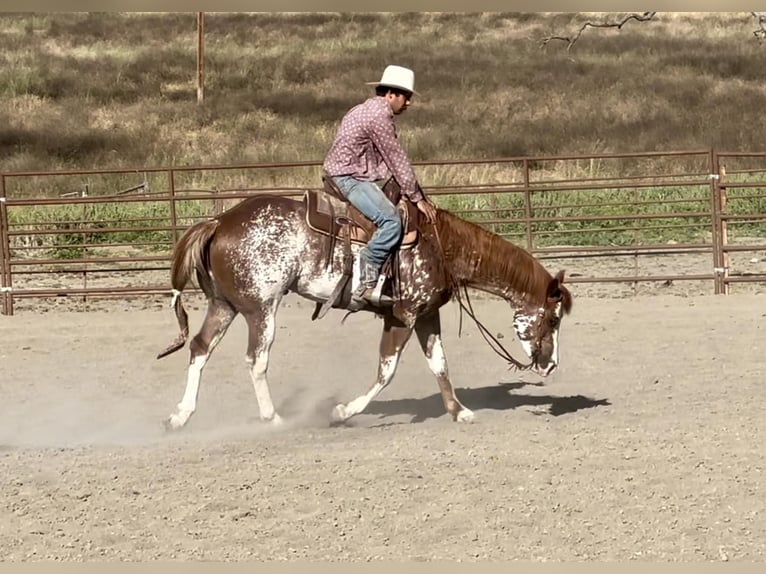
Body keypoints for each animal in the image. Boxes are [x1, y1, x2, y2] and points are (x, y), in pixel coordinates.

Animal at [156, 182, 572, 430]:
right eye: (553, 320)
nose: (551, 365)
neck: (441, 247)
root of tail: (218, 221)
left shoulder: (426, 315)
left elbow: (439, 364)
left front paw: (459, 411)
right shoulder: (403, 316)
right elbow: (386, 371)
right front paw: (344, 411)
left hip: (224, 304)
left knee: (200, 348)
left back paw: (180, 415)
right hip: (262, 308)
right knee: (256, 360)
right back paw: (273, 418)